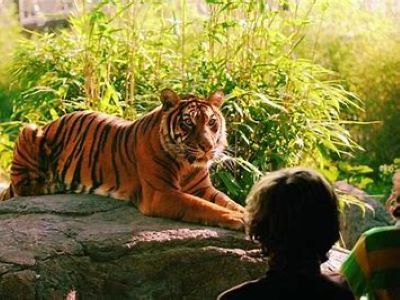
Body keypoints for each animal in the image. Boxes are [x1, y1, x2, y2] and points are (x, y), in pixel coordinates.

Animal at [0, 89, 244, 230]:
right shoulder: (160, 193)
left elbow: (228, 201)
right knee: (22, 187)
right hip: (29, 129)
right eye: (188, 123)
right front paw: (238, 219)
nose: (208, 147)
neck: (186, 165)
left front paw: (243, 213)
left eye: (212, 122)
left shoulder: (203, 188)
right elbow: (201, 206)